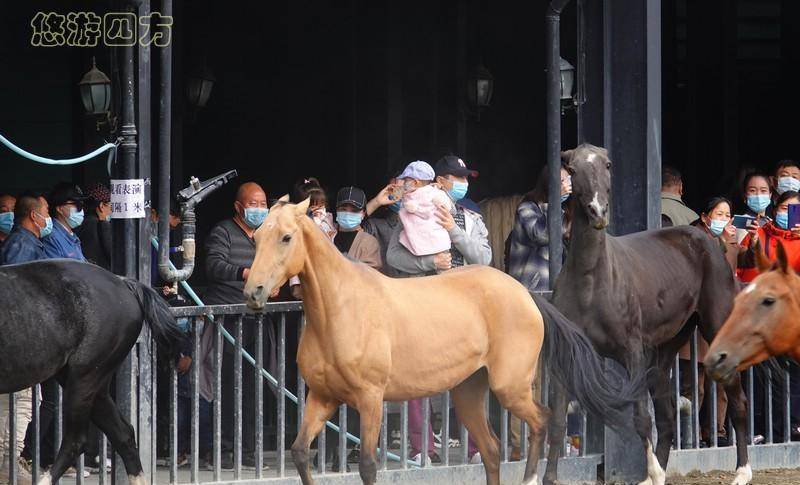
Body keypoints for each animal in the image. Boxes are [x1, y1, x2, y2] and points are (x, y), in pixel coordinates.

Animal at [242, 195, 644, 484]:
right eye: (257, 237)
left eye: (286, 237)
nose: (254, 292)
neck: (340, 311)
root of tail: (526, 295)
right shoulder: (322, 397)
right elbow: (299, 452)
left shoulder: (370, 400)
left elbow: (369, 466)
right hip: (468, 392)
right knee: (492, 450)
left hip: (510, 386)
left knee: (541, 422)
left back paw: (531, 477)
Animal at [544, 144, 752, 484]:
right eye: (572, 170)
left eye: (608, 164)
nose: (598, 212)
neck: (591, 281)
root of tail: (710, 241)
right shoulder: (567, 357)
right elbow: (558, 421)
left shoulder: (631, 353)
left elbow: (641, 418)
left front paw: (653, 471)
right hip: (664, 351)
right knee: (667, 416)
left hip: (715, 328)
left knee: (737, 401)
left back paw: (742, 472)